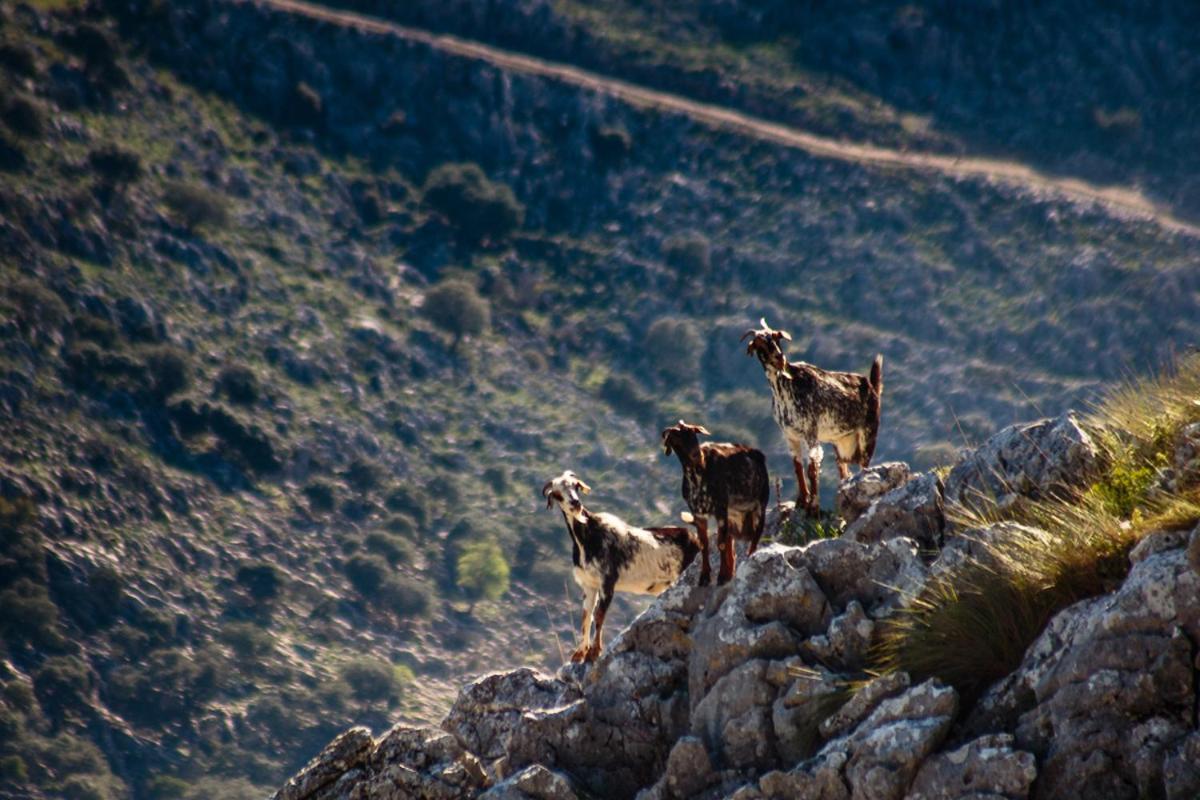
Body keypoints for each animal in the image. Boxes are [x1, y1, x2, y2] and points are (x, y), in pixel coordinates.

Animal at [542, 470, 700, 662]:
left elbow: (599, 616)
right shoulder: (589, 585)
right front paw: (580, 653)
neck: (588, 537)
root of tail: (695, 538)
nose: (575, 503)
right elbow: (586, 617)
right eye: (557, 494)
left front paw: (594, 652)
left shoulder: (607, 582)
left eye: (575, 486)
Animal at [657, 422, 768, 585]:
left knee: (755, 536)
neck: (698, 474)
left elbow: (720, 544)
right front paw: (705, 577)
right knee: (731, 543)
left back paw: (747, 560)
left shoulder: (720, 508)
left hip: (760, 504)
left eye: (692, 432)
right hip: (732, 515)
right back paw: (730, 572)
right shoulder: (698, 513)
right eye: (676, 438)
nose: (697, 455)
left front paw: (721, 576)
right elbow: (704, 544)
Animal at [739, 319, 883, 520]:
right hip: (840, 443)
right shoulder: (790, 435)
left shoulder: (811, 432)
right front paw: (801, 501)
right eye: (759, 344)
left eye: (777, 338)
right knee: (844, 471)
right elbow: (798, 466)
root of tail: (872, 387)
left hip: (868, 435)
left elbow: (812, 469)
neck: (786, 387)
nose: (779, 358)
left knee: (864, 466)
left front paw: (813, 508)